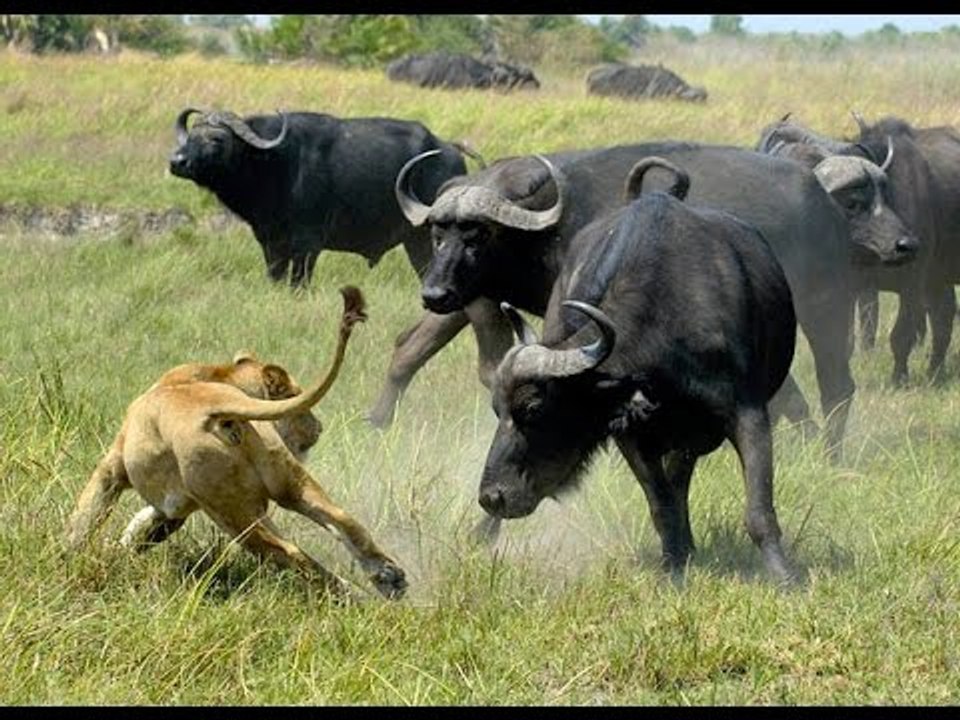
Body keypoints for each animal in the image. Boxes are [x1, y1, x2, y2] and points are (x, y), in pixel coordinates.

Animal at [64, 286, 406, 600]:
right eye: (300, 402)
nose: (319, 427)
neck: (224, 377)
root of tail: (216, 409)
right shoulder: (179, 504)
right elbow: (144, 526)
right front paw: (120, 548)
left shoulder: (113, 467)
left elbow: (87, 514)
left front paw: (71, 553)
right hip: (286, 483)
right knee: (343, 521)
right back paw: (387, 578)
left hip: (228, 511)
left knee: (288, 552)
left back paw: (350, 596)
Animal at [480, 158, 797, 581]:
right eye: (496, 409)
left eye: (532, 408)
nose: (491, 497)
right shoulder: (630, 433)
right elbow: (661, 506)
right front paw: (673, 569)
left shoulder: (748, 414)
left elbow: (759, 510)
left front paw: (785, 577)